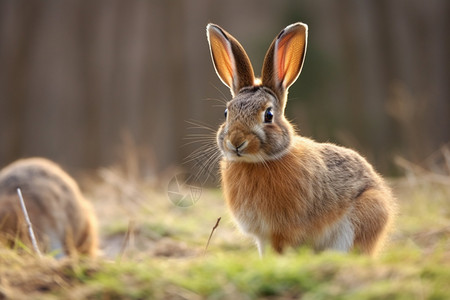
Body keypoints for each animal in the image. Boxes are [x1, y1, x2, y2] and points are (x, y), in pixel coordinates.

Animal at [206, 22, 396, 255]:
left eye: (268, 115)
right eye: (226, 113)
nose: (235, 142)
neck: (258, 162)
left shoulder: (285, 231)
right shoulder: (262, 236)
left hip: (360, 219)